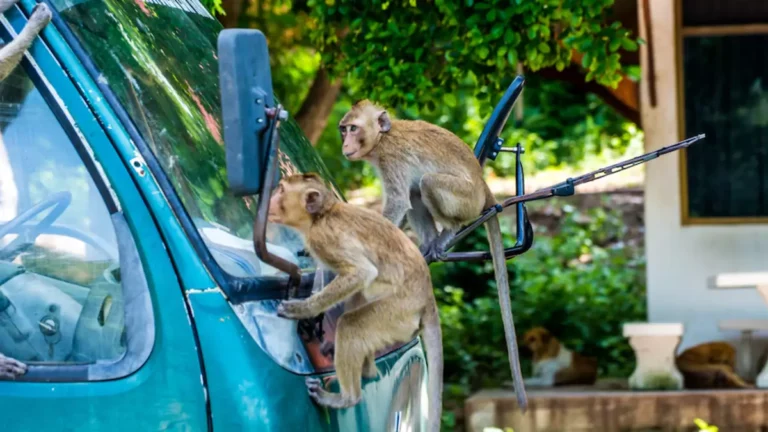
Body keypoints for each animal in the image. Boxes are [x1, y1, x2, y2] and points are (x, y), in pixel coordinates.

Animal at [268, 173, 443, 432]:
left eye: (281, 190)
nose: (270, 197)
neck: (322, 215)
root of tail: (428, 299)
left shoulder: (323, 238)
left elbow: (361, 273)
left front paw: (302, 310)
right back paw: (367, 369)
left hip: (397, 313)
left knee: (352, 324)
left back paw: (347, 398)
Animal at [338, 100, 528, 411]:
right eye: (344, 129)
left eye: (354, 128)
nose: (345, 143)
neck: (383, 138)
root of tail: (484, 187)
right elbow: (406, 202)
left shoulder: (392, 159)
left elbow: (398, 202)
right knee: (417, 192)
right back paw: (427, 247)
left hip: (466, 199)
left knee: (426, 184)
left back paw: (448, 232)